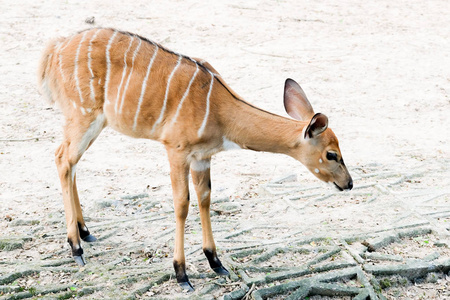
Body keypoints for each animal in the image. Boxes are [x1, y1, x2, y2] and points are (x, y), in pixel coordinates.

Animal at [38, 28, 354, 290]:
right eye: (331, 154)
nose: (348, 183)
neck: (219, 109)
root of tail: (55, 48)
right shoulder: (176, 150)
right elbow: (181, 204)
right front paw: (182, 274)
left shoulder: (203, 157)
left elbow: (205, 199)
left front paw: (216, 263)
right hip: (83, 116)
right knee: (62, 159)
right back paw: (76, 248)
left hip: (94, 122)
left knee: (70, 162)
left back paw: (86, 232)